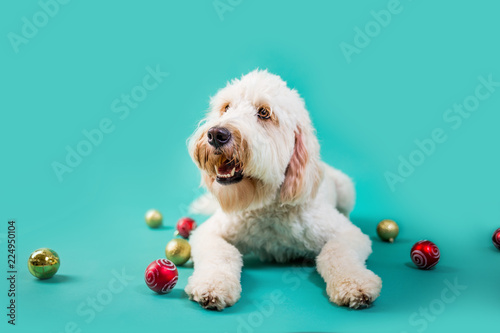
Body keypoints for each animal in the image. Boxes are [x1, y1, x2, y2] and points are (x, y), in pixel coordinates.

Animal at [186, 69, 380, 308]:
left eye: (264, 113)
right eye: (226, 107)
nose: (216, 134)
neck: (267, 206)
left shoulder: (348, 234)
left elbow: (336, 251)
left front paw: (355, 284)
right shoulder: (209, 233)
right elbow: (222, 252)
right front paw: (213, 284)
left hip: (346, 189)